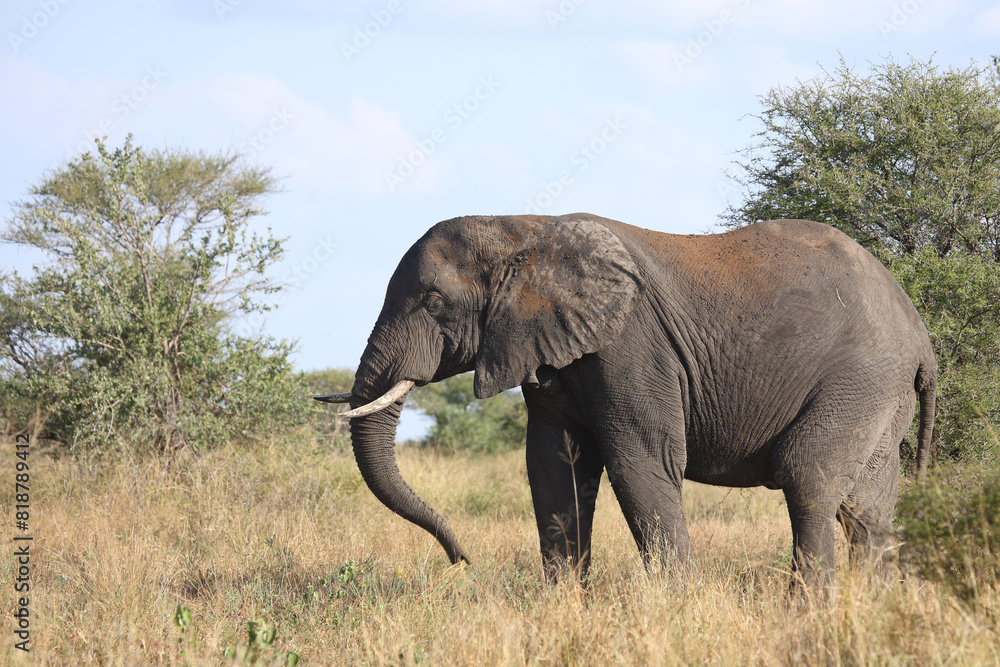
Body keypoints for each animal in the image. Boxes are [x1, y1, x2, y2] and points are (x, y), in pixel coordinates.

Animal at [318, 213, 936, 589]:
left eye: (433, 301)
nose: (460, 561)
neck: (525, 229)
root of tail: (920, 335)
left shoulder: (633, 348)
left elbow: (643, 463)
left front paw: (682, 607)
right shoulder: (550, 354)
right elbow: (554, 467)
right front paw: (565, 606)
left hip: (860, 376)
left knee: (808, 478)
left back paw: (811, 610)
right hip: (881, 393)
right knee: (866, 509)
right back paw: (871, 605)